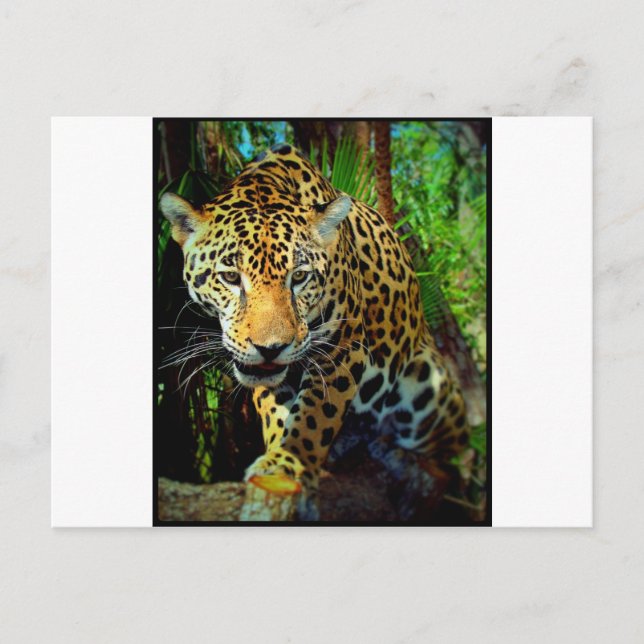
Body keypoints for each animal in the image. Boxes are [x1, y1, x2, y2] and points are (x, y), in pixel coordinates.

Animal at [160, 143, 470, 521]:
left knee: (454, 453)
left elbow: (315, 418)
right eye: (231, 277)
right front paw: (278, 460)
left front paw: (289, 463)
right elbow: (278, 415)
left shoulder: (342, 349)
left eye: (299, 277)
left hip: (428, 385)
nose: (270, 348)